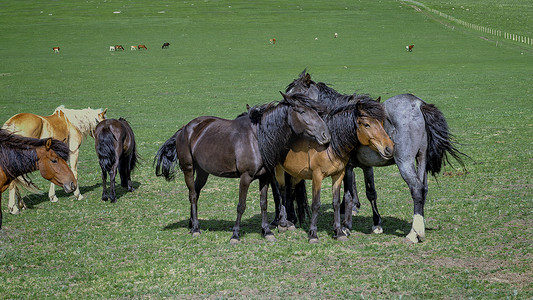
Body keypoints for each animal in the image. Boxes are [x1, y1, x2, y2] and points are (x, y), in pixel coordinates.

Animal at [153, 93, 328, 244]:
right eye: (302, 111)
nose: (325, 135)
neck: (258, 138)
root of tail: (184, 129)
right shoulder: (245, 177)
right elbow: (241, 205)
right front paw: (235, 235)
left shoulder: (265, 177)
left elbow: (263, 203)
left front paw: (267, 232)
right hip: (188, 169)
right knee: (193, 195)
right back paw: (196, 229)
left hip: (203, 172)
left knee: (196, 191)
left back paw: (192, 224)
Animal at [266, 96, 394, 244]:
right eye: (366, 124)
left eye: (381, 123)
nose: (389, 148)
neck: (330, 145)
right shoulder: (317, 176)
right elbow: (316, 204)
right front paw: (313, 234)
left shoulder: (338, 175)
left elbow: (336, 203)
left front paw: (339, 232)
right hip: (278, 171)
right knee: (281, 193)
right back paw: (281, 223)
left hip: (296, 174)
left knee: (289, 192)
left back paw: (290, 222)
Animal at [284, 70, 464, 244]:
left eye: (295, 95)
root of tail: (419, 104)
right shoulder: (366, 166)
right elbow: (371, 192)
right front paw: (376, 224)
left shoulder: (347, 166)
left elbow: (348, 195)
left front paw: (346, 226)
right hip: (421, 159)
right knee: (424, 189)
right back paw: (420, 227)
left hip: (405, 162)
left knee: (416, 189)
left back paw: (413, 234)